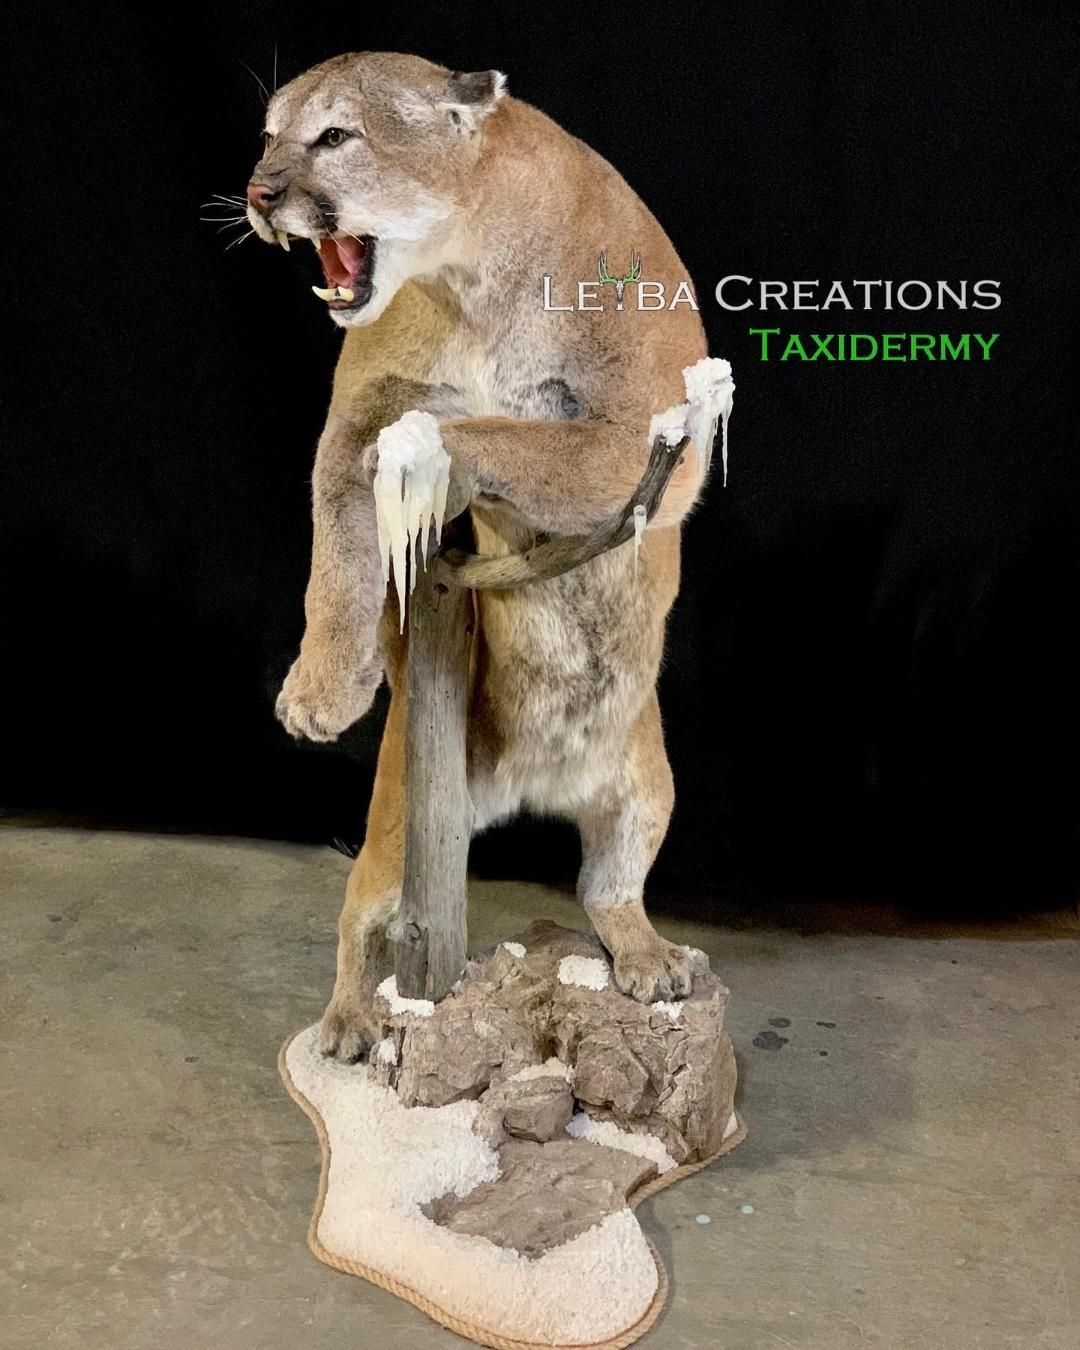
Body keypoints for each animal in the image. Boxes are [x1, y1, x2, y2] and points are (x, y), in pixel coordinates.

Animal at [243, 51, 714, 1059]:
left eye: (334, 135)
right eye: (266, 136)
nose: (258, 192)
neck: (467, 275)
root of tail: (537, 783)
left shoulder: (648, 439)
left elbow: (508, 433)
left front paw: (432, 442)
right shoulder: (351, 415)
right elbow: (335, 558)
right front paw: (322, 688)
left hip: (648, 784)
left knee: (608, 887)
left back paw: (648, 959)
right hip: (406, 811)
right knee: (365, 915)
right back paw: (347, 1021)